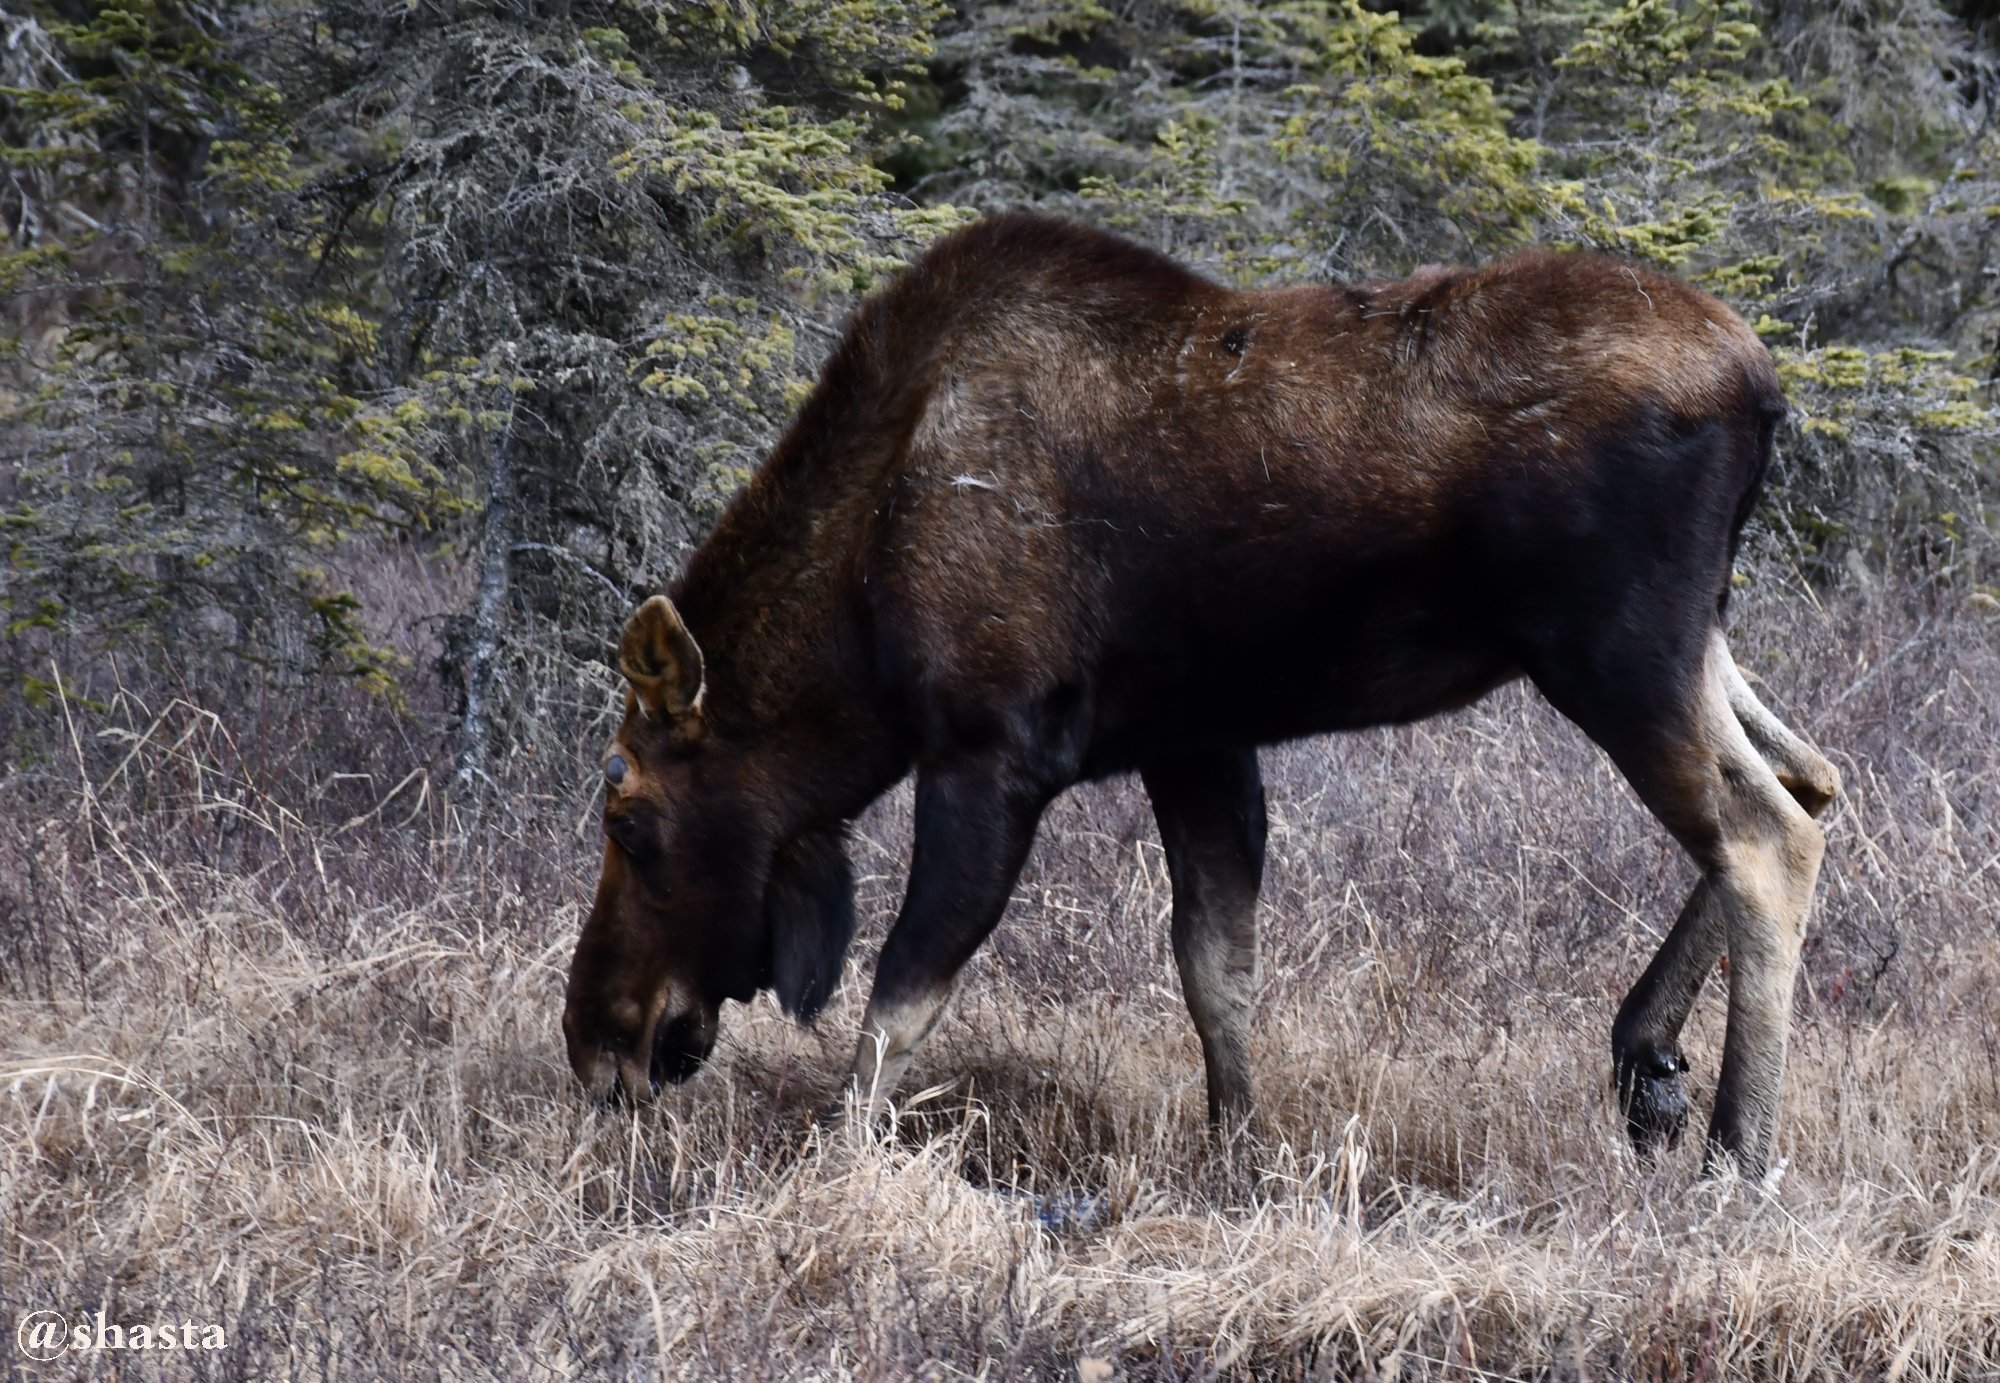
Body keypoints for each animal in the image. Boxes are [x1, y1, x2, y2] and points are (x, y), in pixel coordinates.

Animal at [564, 215, 1840, 1175]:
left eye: (627, 815)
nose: (594, 1041)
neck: (856, 628)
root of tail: (1762, 386)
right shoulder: (1193, 741)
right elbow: (1213, 969)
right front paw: (1239, 1160)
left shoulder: (991, 751)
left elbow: (901, 995)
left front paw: (833, 1175)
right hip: (1685, 637)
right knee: (1811, 776)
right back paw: (1646, 1059)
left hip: (1611, 649)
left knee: (1763, 834)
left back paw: (1736, 1151)